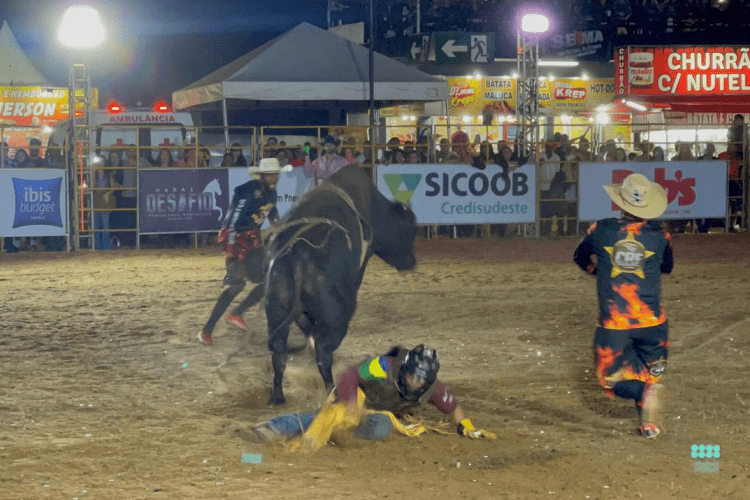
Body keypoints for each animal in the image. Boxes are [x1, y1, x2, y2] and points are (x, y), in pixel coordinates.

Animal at [262, 165, 418, 406]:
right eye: (408, 231)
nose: (411, 262)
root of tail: (296, 251)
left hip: (276, 311)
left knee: (279, 354)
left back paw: (277, 395)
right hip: (337, 316)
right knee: (323, 353)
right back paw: (333, 392)